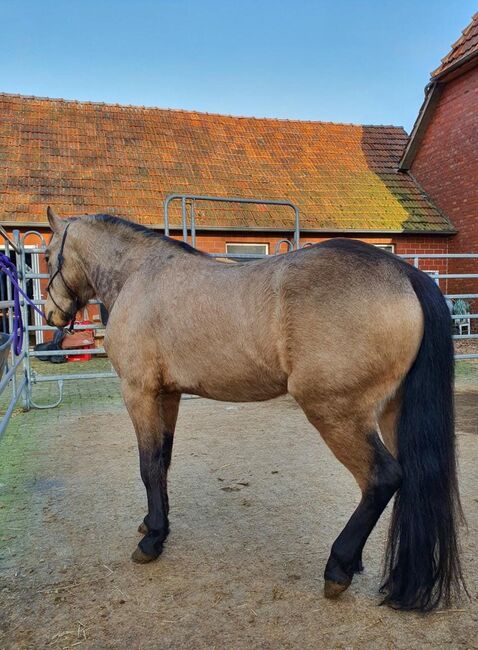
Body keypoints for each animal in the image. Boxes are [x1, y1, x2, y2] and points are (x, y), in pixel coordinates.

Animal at [43, 207, 465, 611]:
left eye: (47, 256)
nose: (51, 317)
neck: (140, 275)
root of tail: (404, 274)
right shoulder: (168, 395)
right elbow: (162, 461)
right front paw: (153, 524)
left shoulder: (139, 392)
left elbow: (147, 465)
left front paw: (152, 541)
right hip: (392, 412)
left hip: (334, 412)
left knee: (382, 479)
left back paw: (339, 567)